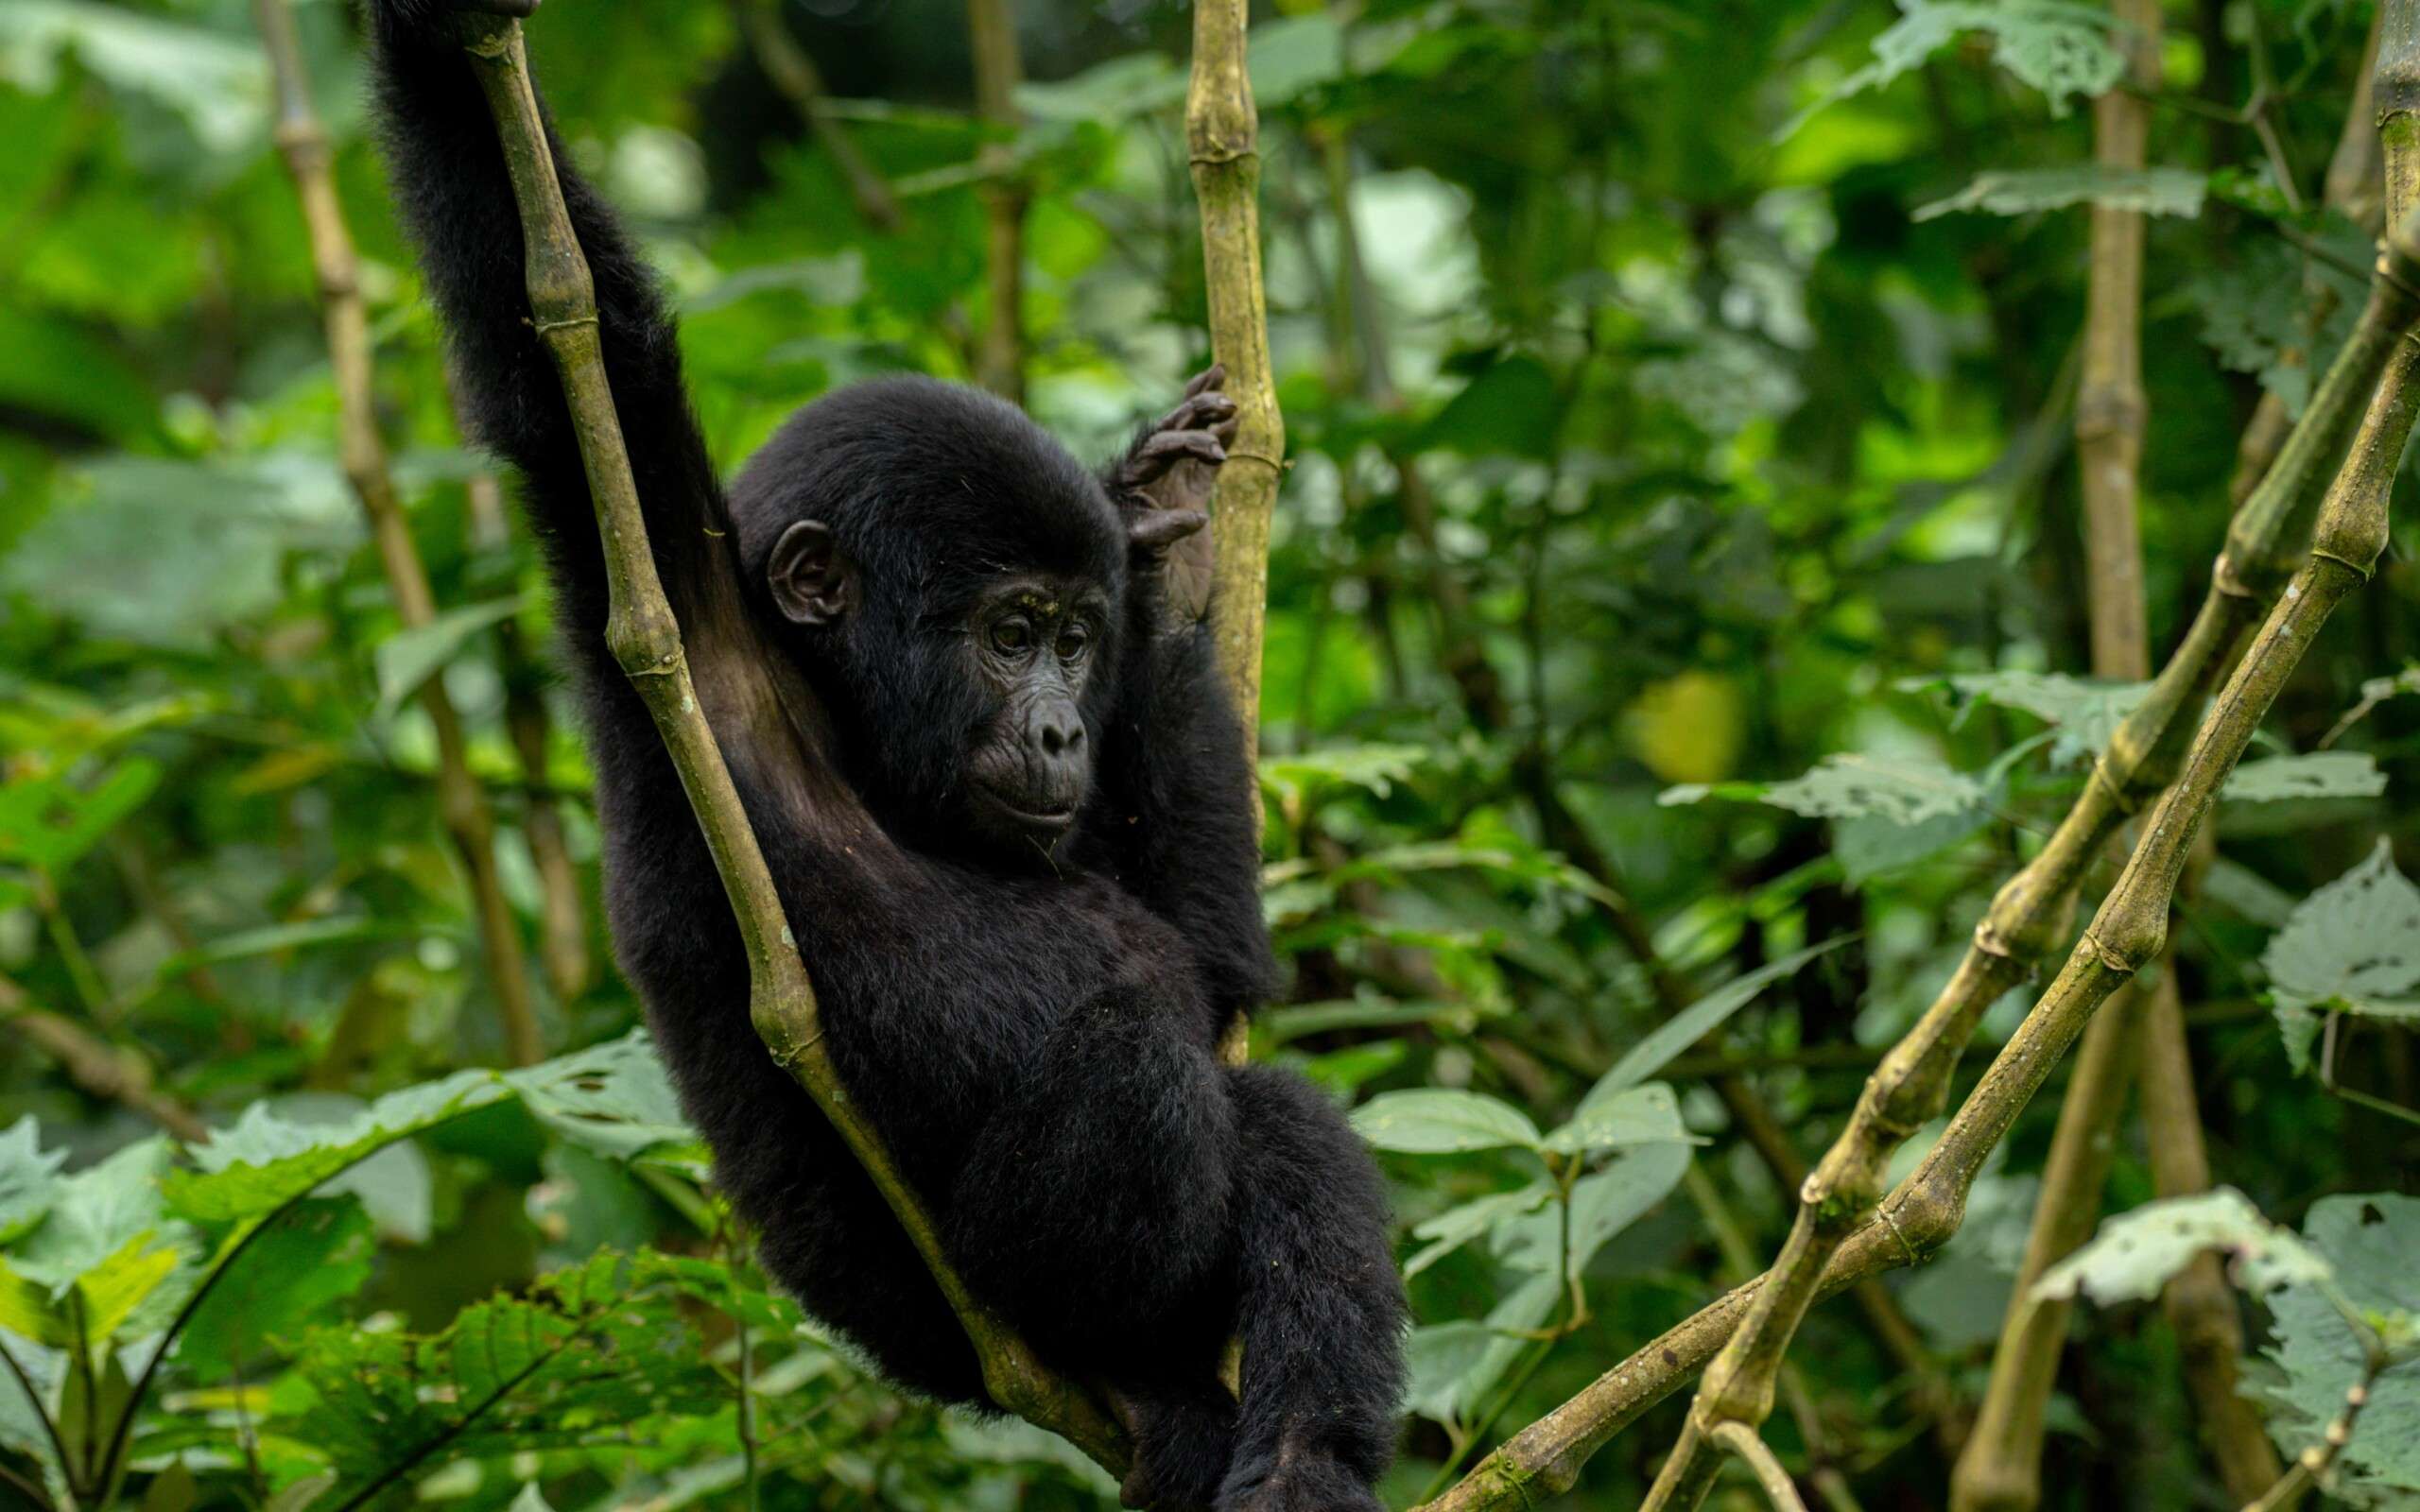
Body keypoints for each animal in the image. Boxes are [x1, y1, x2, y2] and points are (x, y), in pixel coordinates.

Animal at [365, 6, 1413, 1500]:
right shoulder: (684, 653)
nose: (1061, 726)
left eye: (1079, 640)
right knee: (1147, 1063)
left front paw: (1169, 549)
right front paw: (443, 39)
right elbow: (566, 352)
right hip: (994, 1318)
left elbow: (1212, 966)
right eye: (1011, 633)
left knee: (1268, 1115)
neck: (853, 742)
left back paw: (1298, 1458)